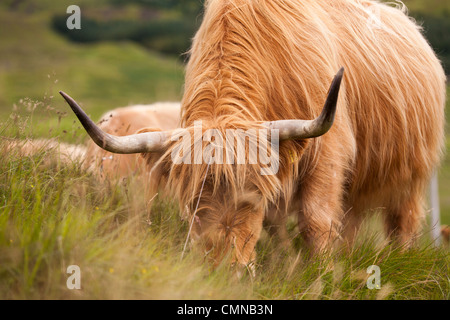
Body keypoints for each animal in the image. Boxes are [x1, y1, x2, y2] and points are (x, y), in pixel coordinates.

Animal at [60, 0, 446, 268]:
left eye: (252, 197)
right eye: (192, 202)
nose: (224, 268)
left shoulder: (327, 154)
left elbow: (315, 221)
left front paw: (321, 273)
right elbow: (283, 229)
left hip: (411, 175)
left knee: (401, 223)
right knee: (349, 221)